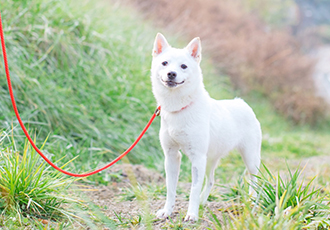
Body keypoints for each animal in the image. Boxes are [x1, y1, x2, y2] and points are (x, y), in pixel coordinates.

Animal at [151, 32, 262, 221]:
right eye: (164, 63)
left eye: (183, 66)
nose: (171, 73)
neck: (179, 108)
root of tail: (242, 103)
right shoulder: (172, 156)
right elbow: (170, 188)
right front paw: (167, 211)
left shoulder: (197, 157)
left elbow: (193, 189)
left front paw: (191, 215)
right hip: (210, 158)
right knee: (211, 180)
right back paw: (203, 202)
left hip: (250, 158)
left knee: (256, 181)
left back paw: (253, 205)